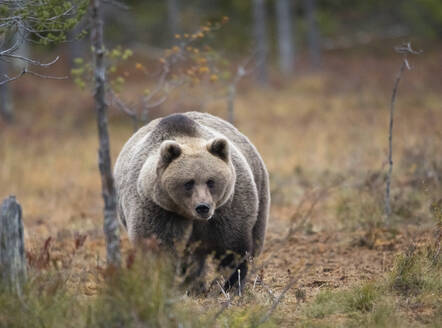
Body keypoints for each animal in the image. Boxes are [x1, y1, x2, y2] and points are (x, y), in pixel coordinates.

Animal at [114, 112, 270, 290]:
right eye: (188, 183)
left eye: (211, 181)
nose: (203, 207)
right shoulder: (158, 210)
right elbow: (160, 248)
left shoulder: (227, 207)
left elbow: (231, 247)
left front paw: (230, 283)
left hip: (260, 191)